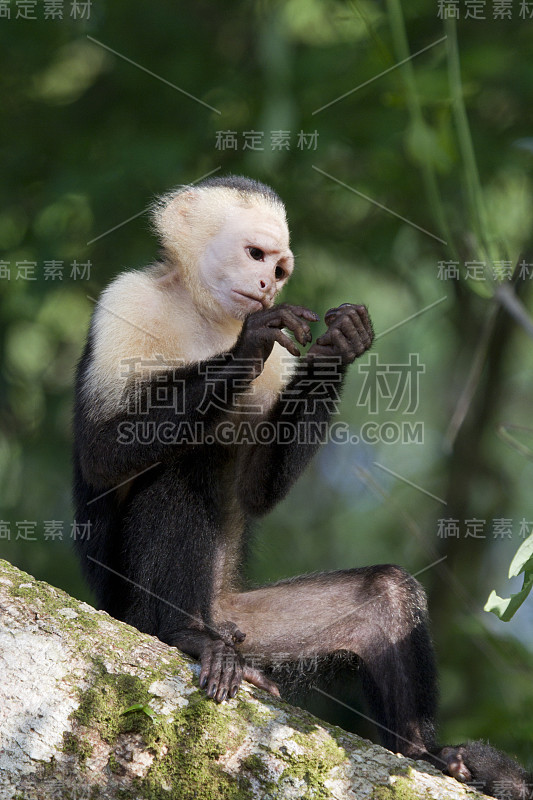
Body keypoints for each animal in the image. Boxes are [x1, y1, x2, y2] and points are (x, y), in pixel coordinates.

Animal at [72, 177, 528, 800]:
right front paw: (247, 346)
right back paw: (185, 634)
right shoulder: (128, 300)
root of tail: (216, 612)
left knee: (385, 597)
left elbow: (258, 490)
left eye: (281, 268)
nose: (268, 284)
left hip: (245, 625)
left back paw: (430, 755)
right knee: (181, 465)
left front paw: (340, 344)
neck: (204, 314)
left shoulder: (280, 368)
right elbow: (101, 451)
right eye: (255, 255)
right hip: (130, 607)